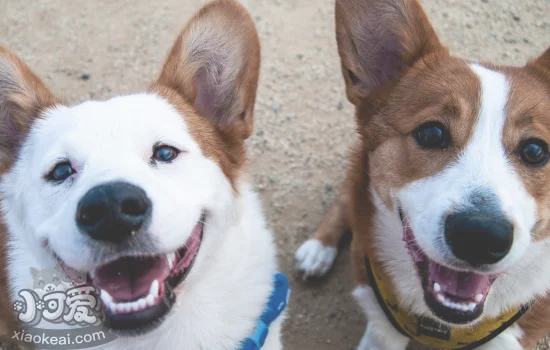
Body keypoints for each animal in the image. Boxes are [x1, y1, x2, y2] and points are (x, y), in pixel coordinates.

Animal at [300, 0, 550, 348]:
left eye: (535, 151)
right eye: (431, 134)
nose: (480, 236)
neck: (444, 327)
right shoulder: (381, 328)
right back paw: (318, 249)